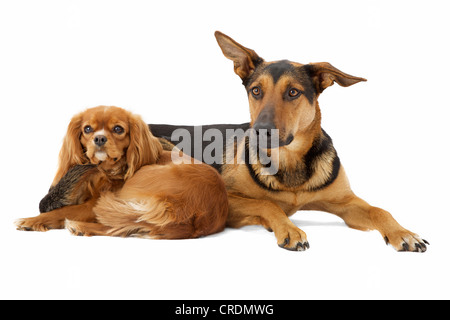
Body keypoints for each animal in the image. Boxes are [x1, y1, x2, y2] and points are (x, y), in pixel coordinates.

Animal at [16, 106, 229, 239]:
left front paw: (33, 220)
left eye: (118, 129)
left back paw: (80, 227)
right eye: (87, 129)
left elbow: (60, 211)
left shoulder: (93, 204)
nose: (99, 138)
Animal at [38, 32, 428, 252]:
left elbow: (380, 211)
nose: (262, 130)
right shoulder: (233, 202)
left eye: (293, 92)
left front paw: (404, 233)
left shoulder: (346, 203)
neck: (290, 166)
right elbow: (269, 205)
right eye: (255, 91)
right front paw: (288, 229)